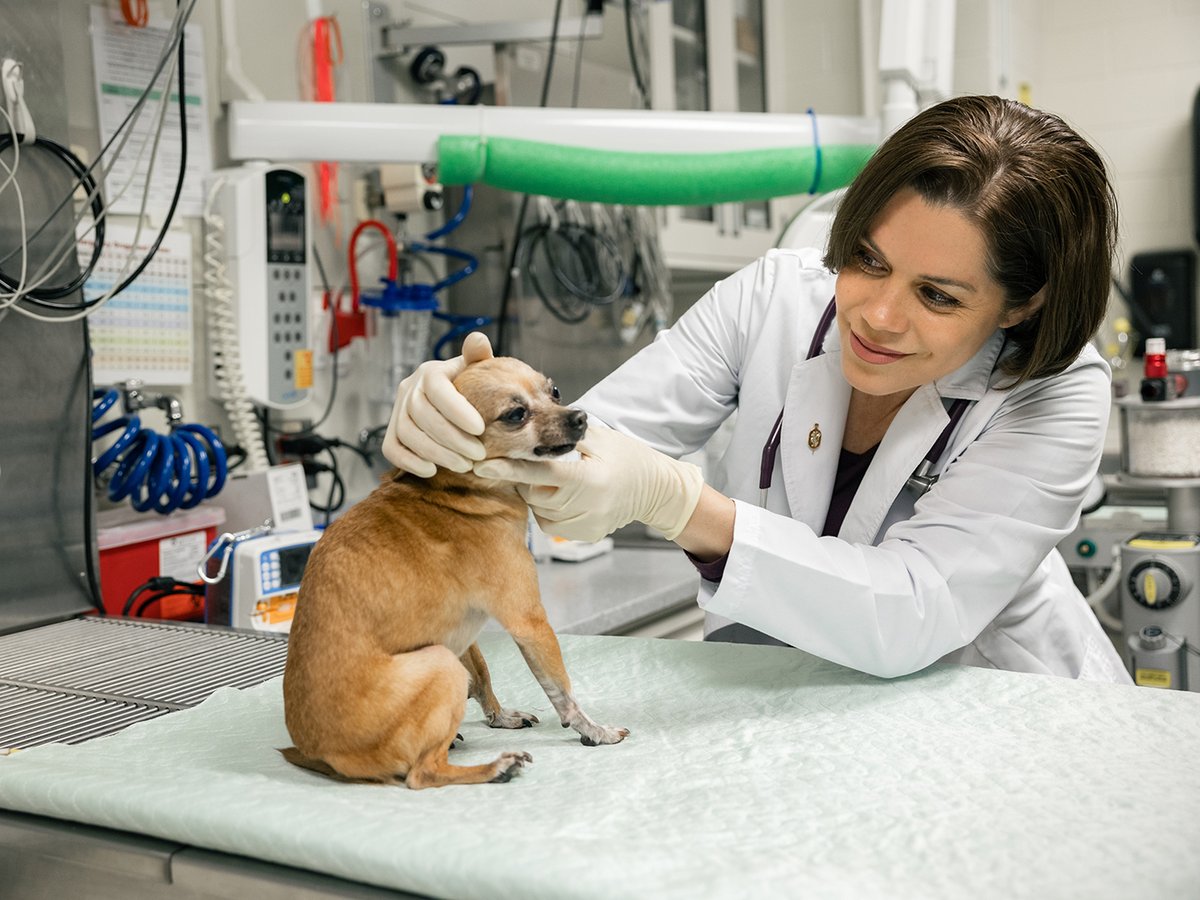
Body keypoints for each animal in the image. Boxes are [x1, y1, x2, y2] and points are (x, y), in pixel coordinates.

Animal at [279, 352, 628, 787]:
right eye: (515, 414)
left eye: (555, 391)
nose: (580, 417)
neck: (455, 491)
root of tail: (321, 753)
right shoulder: (530, 623)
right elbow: (562, 690)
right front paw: (593, 729)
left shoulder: (464, 636)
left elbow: (482, 675)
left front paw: (501, 716)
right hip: (441, 665)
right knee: (423, 773)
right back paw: (495, 767)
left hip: (446, 656)